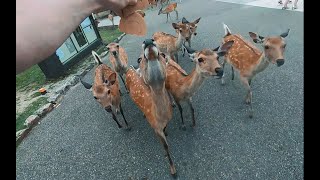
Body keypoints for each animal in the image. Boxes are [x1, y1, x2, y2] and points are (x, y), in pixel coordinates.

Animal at [125, 39, 176, 176]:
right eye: (139, 59)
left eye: (163, 54)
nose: (148, 41)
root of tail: (129, 69)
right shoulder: (155, 127)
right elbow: (166, 146)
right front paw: (173, 171)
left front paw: (167, 132)